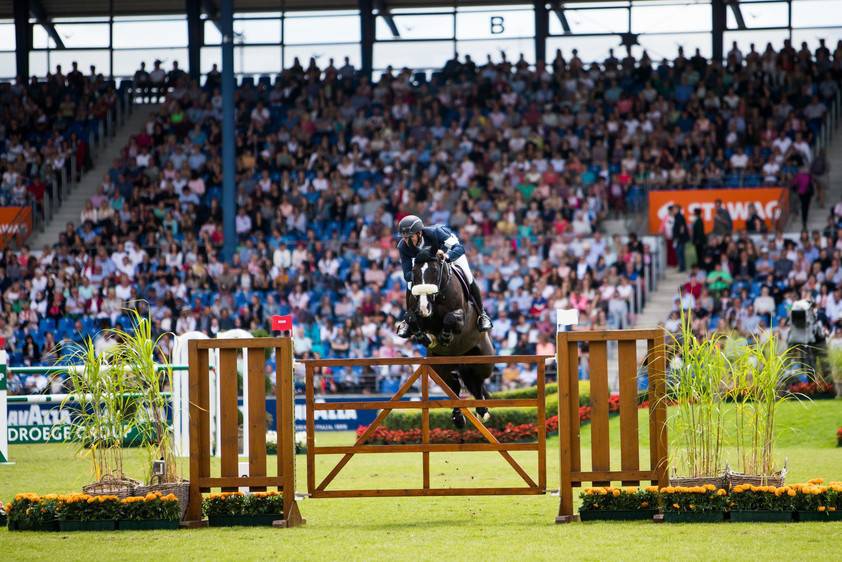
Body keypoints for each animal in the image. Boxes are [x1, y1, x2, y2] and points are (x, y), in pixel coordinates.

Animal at [406, 247, 496, 426]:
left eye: (434, 270)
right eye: (414, 272)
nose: (424, 308)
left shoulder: (461, 317)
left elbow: (450, 318)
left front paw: (445, 336)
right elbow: (410, 318)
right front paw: (425, 337)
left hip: (483, 362)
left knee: (478, 380)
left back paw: (482, 410)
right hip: (440, 367)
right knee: (454, 385)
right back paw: (459, 417)